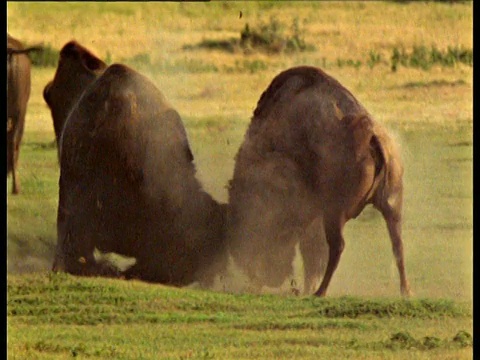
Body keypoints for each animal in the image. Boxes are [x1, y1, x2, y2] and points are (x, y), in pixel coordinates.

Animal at [223, 66, 410, 296]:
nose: (268, 278)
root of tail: (373, 138)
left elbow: (311, 251)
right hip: (391, 206)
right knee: (398, 245)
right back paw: (406, 293)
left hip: (335, 213)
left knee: (338, 246)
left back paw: (319, 292)